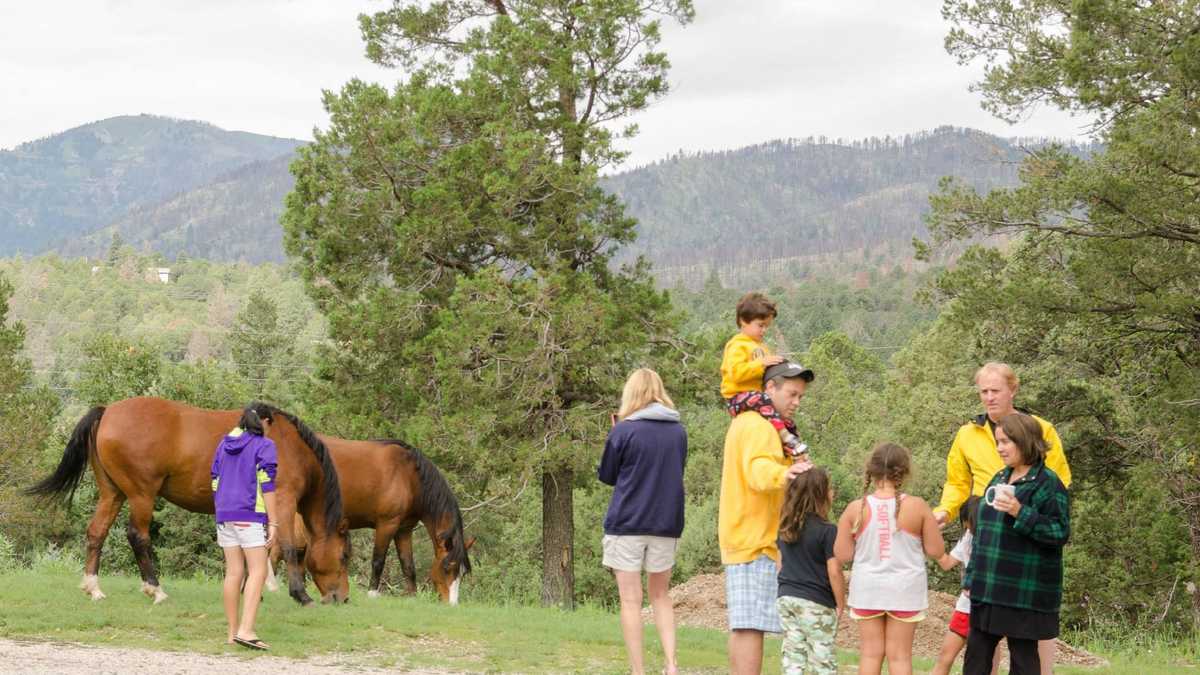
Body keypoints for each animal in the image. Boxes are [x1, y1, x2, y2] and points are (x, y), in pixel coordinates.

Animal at [26, 397, 351, 605]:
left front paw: (250, 589)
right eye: (344, 556)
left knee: (97, 533)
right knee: (138, 536)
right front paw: (300, 594)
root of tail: (107, 411)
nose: (342, 598)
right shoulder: (283, 501)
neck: (289, 445)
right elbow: (288, 547)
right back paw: (155, 589)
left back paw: (93, 588)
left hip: (112, 493)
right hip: (141, 495)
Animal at [270, 438, 473, 603]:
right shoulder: (387, 525)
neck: (408, 475)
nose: (452, 604)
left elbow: (408, 565)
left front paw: (412, 596)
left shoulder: (404, 529)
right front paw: (372, 594)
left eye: (463, 573)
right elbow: (378, 560)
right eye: (448, 568)